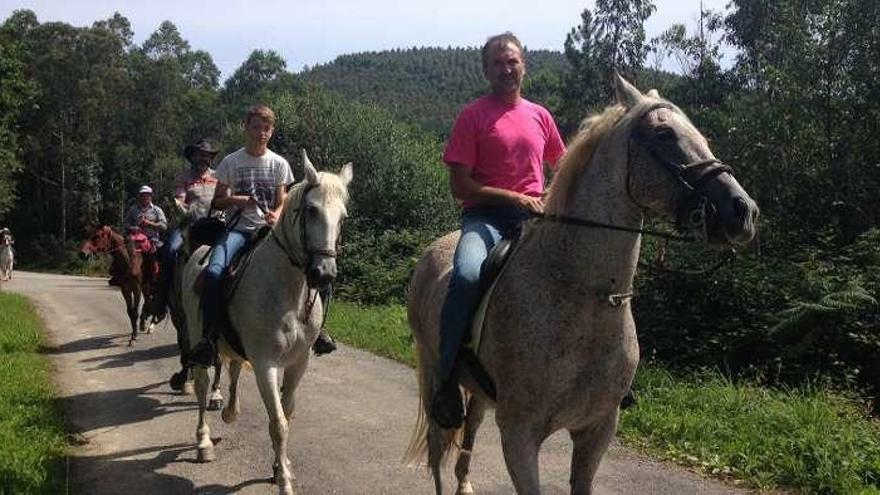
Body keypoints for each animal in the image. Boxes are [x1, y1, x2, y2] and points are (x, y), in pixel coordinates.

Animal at [180, 151, 352, 495]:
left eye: (342, 217)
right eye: (311, 210)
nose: (324, 273)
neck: (288, 290)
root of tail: (199, 253)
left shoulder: (298, 362)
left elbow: (286, 414)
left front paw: (279, 466)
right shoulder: (265, 363)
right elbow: (278, 423)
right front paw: (283, 480)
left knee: (232, 369)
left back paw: (230, 412)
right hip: (197, 337)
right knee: (203, 387)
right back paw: (204, 443)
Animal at [410, 74, 760, 495]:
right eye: (664, 134)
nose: (744, 211)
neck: (583, 296)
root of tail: (430, 253)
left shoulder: (597, 431)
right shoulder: (519, 434)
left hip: (479, 393)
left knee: (471, 430)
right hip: (433, 372)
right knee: (436, 447)